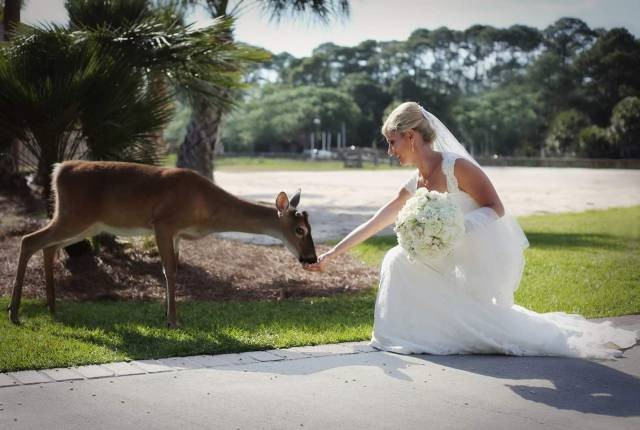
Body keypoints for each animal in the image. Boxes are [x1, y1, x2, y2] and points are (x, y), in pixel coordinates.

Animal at [8, 160, 318, 326]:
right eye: (300, 229)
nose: (311, 258)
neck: (208, 207)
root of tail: (58, 169)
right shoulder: (163, 223)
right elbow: (169, 271)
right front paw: (172, 320)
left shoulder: (177, 234)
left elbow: (172, 269)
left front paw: (166, 315)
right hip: (74, 215)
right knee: (29, 240)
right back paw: (14, 313)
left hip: (85, 222)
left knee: (48, 246)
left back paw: (51, 307)